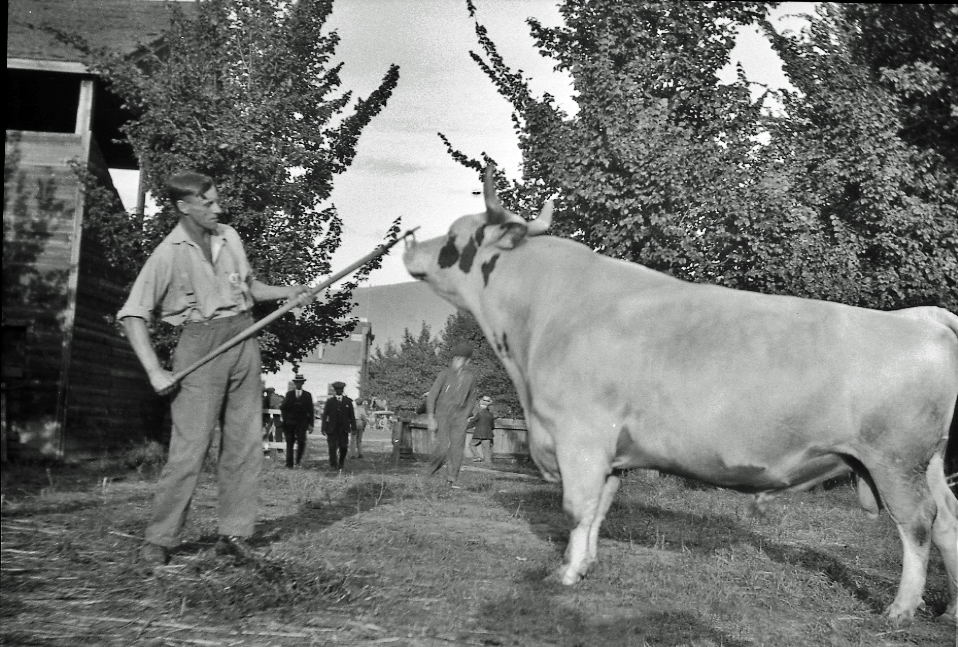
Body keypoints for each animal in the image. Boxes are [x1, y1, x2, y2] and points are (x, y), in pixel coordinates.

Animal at [404, 168, 958, 628]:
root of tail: (920, 318)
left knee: (918, 523)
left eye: (454, 238)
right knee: (949, 518)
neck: (545, 313)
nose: (410, 243)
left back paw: (900, 610)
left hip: (895, 460)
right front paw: (585, 565)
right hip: (925, 460)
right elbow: (600, 509)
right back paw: (948, 610)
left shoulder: (580, 437)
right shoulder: (611, 452)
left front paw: (564, 574)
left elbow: (578, 507)